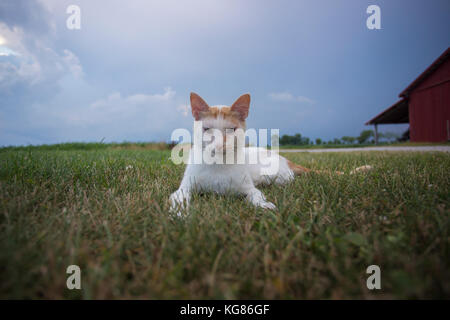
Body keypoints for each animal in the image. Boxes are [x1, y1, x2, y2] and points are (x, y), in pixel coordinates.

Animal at [171, 92, 370, 215]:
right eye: (207, 129)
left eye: (231, 130)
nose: (220, 145)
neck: (218, 165)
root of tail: (286, 159)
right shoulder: (184, 188)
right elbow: (179, 197)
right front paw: (179, 214)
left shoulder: (249, 188)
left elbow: (256, 195)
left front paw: (264, 205)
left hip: (274, 176)